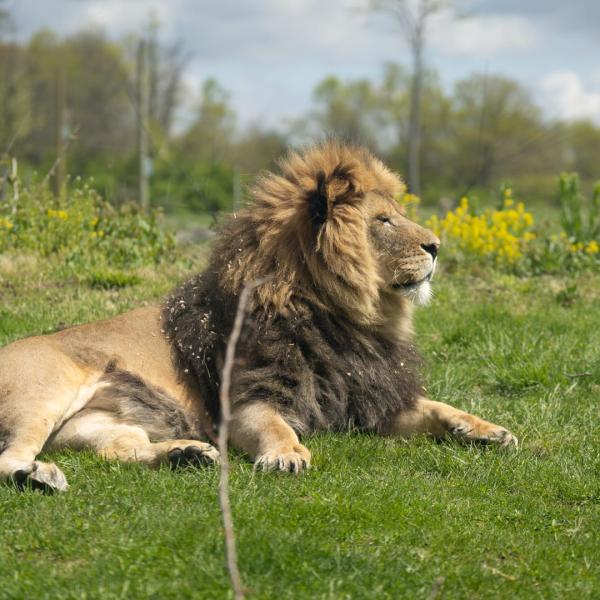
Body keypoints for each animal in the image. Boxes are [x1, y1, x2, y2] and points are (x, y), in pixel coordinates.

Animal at [0, 142, 516, 492]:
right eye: (383, 221)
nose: (436, 247)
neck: (342, 317)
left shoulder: (370, 398)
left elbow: (439, 407)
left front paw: (489, 430)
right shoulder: (248, 400)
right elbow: (275, 427)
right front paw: (287, 456)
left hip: (100, 425)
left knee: (118, 450)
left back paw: (185, 455)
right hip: (43, 393)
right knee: (9, 457)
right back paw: (38, 476)